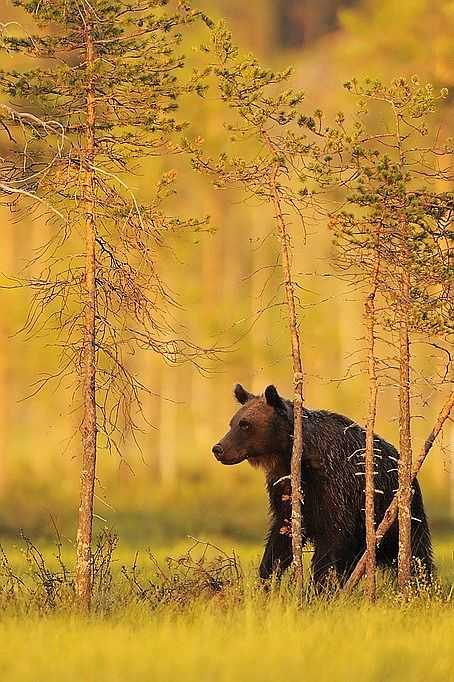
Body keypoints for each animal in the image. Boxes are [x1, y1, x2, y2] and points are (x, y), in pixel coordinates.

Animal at [212, 382, 432, 584]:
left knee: (416, 550)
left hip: (398, 512)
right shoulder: (285, 488)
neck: (294, 458)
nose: (218, 448)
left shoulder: (335, 487)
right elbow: (282, 536)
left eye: (245, 424)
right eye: (232, 423)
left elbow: (331, 540)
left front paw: (316, 586)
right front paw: (267, 579)